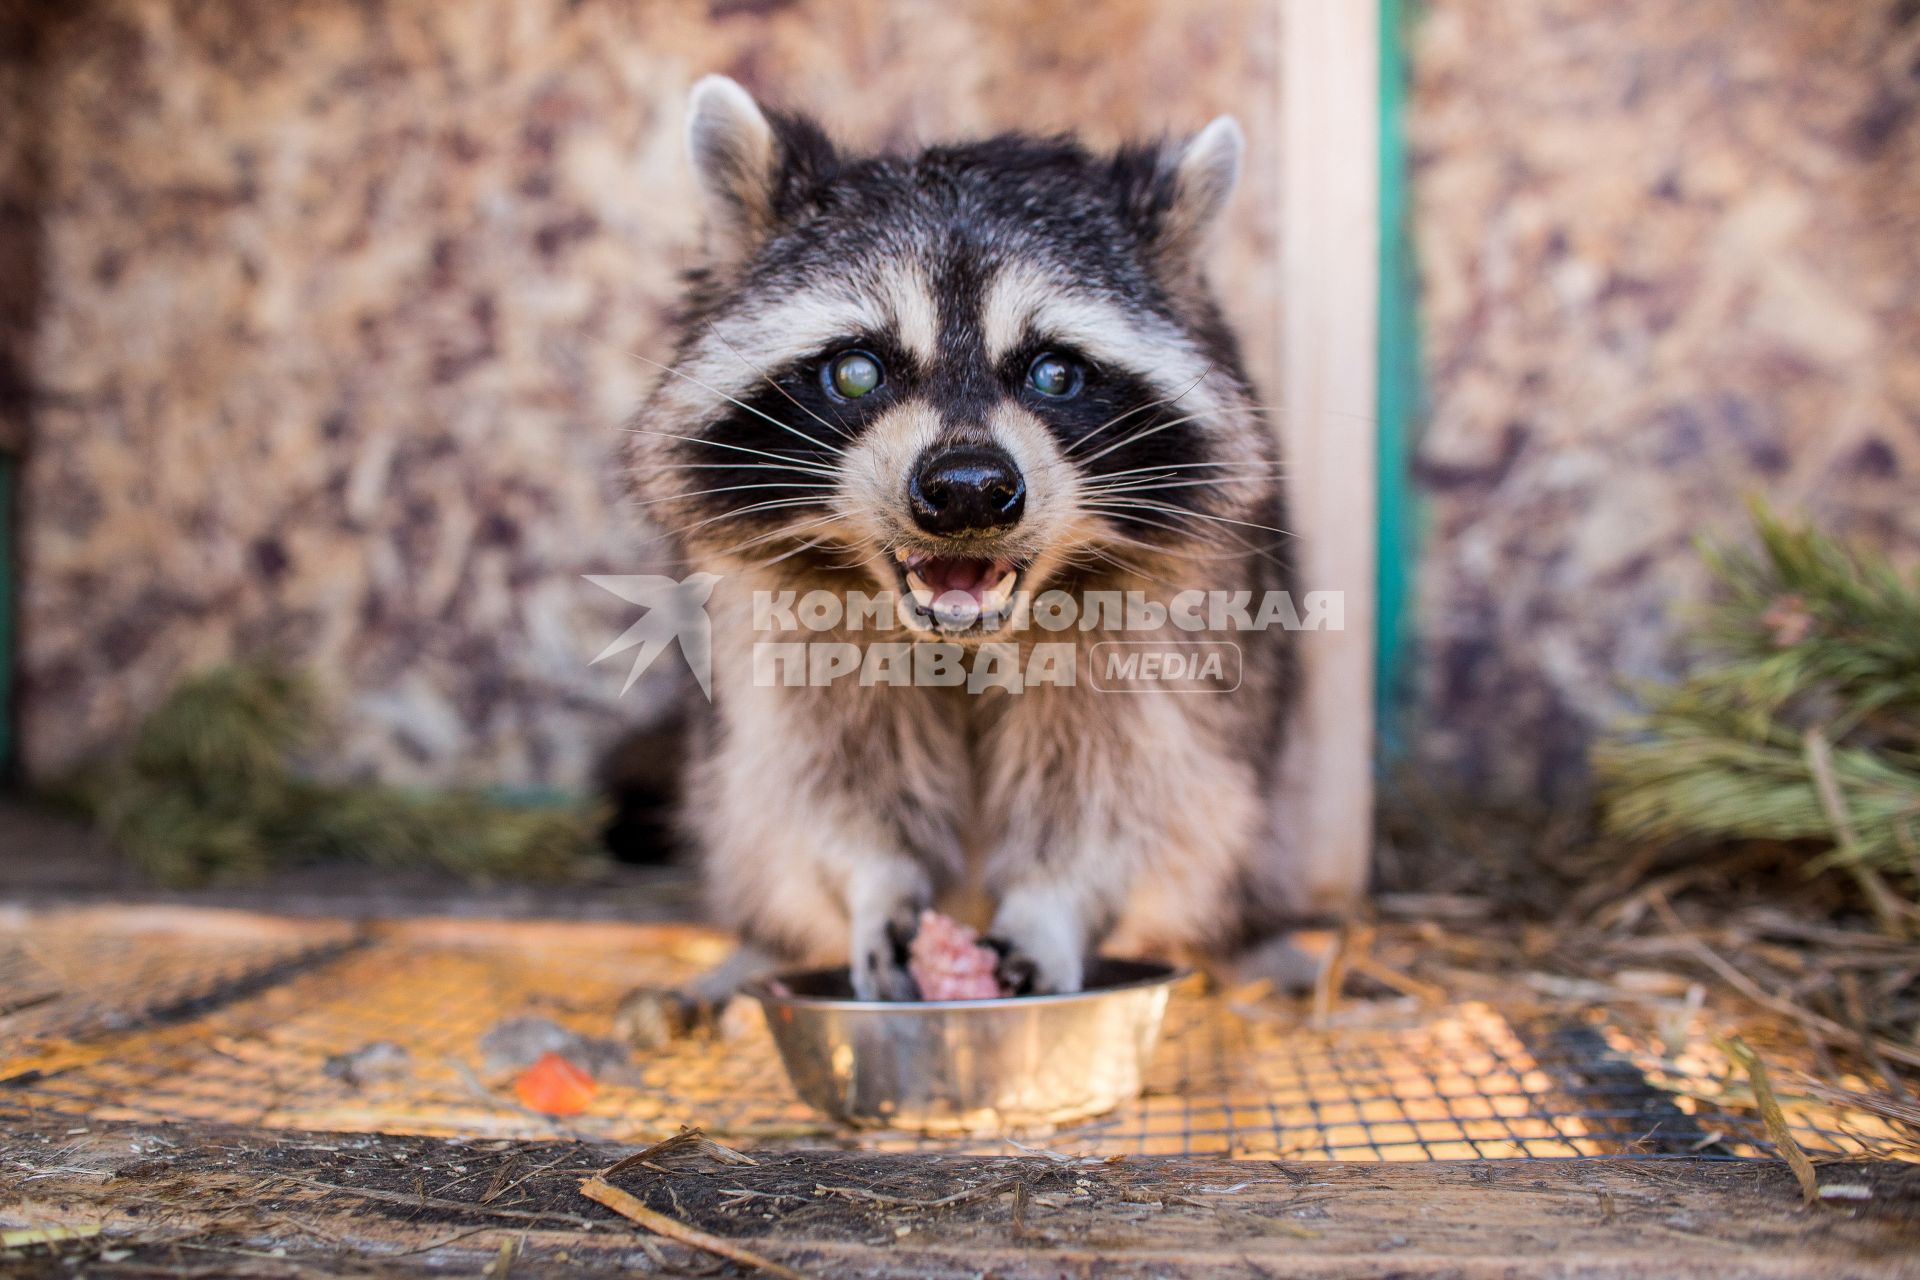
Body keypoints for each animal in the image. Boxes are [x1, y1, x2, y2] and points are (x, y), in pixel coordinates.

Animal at [622, 75, 1328, 1005]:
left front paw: (1053, 903)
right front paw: (876, 881)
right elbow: (821, 774)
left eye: (1054, 373)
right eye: (858, 371)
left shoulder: (1164, 611)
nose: (966, 491)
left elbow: (1127, 787)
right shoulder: (778, 613)